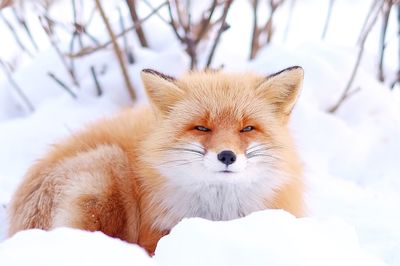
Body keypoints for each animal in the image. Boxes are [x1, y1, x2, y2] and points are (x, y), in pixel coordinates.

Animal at [7, 66, 304, 254]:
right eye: (202, 128)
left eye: (247, 128)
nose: (227, 156)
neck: (218, 216)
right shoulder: (154, 233)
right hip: (107, 167)